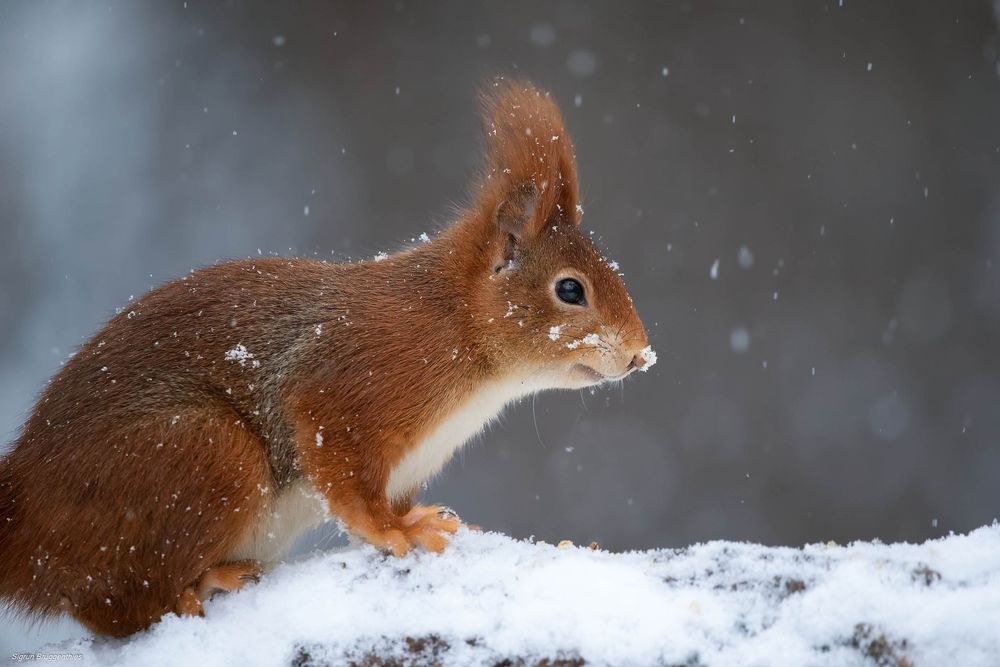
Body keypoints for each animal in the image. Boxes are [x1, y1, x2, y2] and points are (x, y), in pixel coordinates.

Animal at [0, 80, 653, 637]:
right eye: (570, 290)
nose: (640, 356)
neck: (454, 327)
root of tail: (24, 515)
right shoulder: (348, 387)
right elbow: (349, 487)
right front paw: (394, 532)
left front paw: (422, 519)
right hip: (199, 454)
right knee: (116, 607)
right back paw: (204, 582)